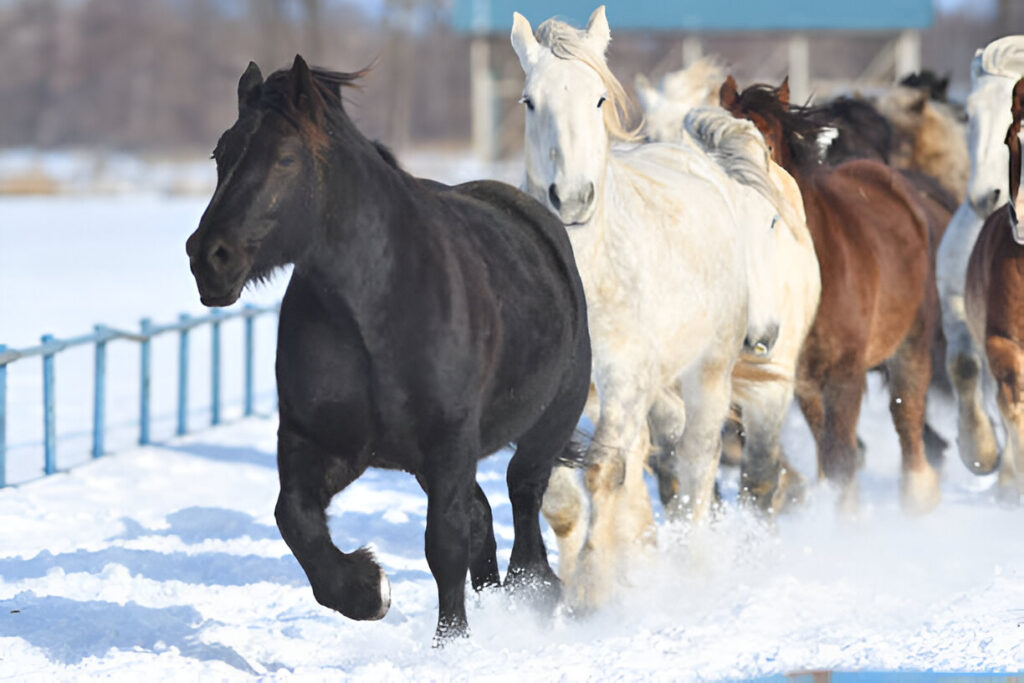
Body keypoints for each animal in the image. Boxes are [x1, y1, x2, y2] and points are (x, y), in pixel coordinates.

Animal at [182, 56, 593, 643]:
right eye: (221, 153)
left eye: (285, 158)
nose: (208, 257)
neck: (376, 314)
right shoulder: (319, 441)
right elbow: (294, 519)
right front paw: (367, 590)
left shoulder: (449, 445)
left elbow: (444, 545)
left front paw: (451, 643)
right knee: (485, 520)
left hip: (543, 428)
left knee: (522, 506)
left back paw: (529, 599)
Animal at [516, 6, 811, 610]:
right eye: (530, 100)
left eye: (598, 99)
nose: (571, 198)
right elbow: (560, 492)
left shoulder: (624, 380)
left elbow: (604, 471)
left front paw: (590, 593)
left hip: (708, 374)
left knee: (697, 464)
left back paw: (690, 570)